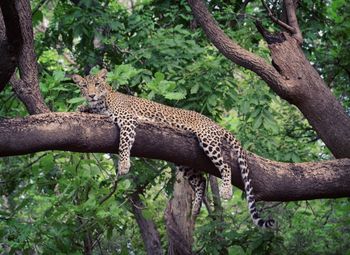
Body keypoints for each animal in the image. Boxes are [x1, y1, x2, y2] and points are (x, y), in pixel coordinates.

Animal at [72, 68, 274, 228]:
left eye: (97, 84)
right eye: (84, 86)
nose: (91, 95)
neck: (103, 101)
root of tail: (215, 123)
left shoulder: (128, 119)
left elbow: (124, 143)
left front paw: (123, 165)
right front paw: (81, 107)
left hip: (207, 139)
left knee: (224, 165)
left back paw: (225, 191)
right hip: (183, 159)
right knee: (201, 180)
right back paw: (195, 209)